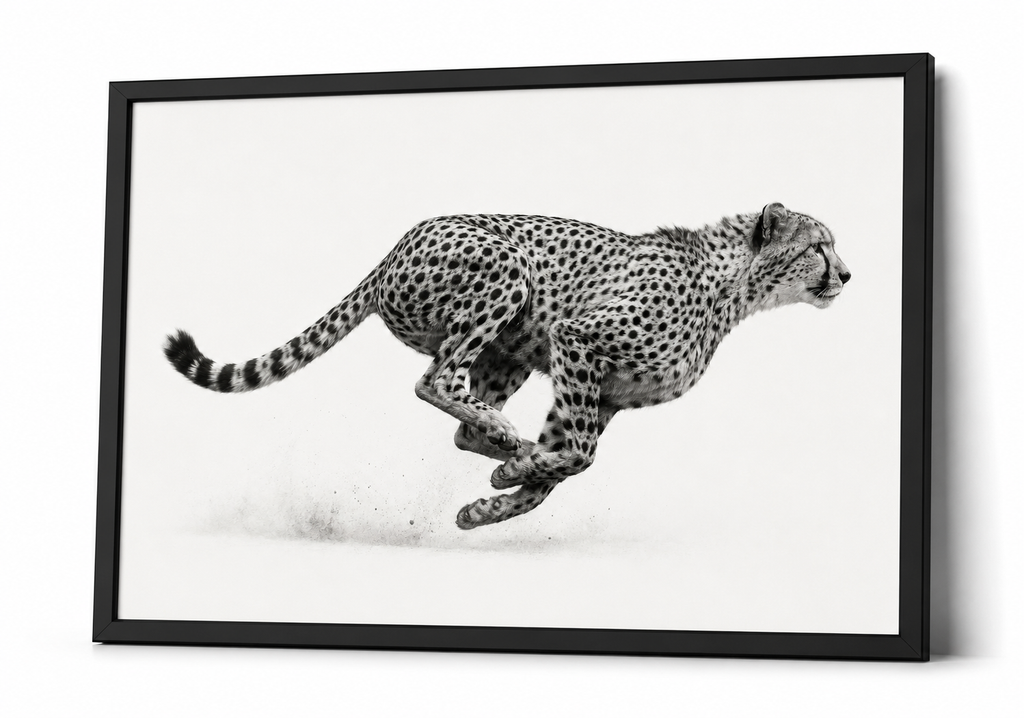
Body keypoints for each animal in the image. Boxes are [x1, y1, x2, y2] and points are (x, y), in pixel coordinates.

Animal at [164, 202, 851, 530]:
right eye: (819, 246)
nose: (846, 274)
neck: (732, 286)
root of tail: (394, 248)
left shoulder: (607, 395)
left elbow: (563, 467)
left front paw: (488, 505)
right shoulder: (579, 340)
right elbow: (578, 456)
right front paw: (511, 476)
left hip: (510, 352)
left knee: (462, 425)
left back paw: (501, 441)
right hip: (508, 277)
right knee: (433, 380)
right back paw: (503, 436)